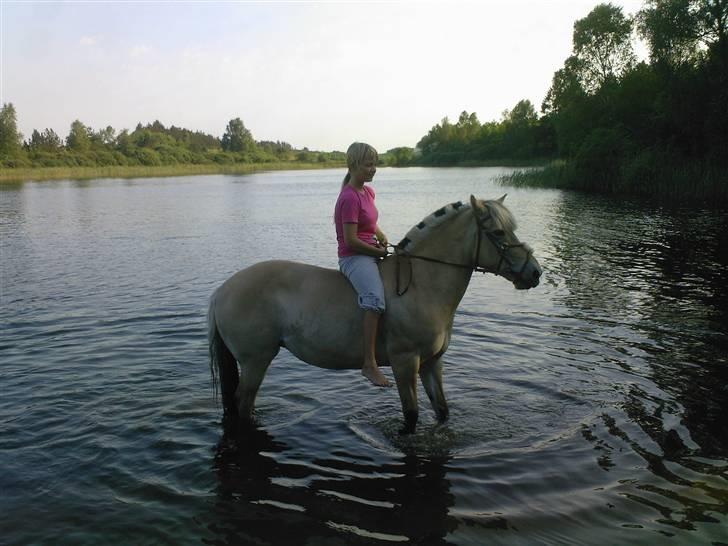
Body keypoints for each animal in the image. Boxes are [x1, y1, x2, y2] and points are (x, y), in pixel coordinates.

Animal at [208, 193, 544, 432]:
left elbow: (442, 411)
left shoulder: (431, 363)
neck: (422, 284)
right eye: (498, 233)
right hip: (255, 361)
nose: (535, 273)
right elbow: (411, 415)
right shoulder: (405, 362)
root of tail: (222, 290)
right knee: (242, 405)